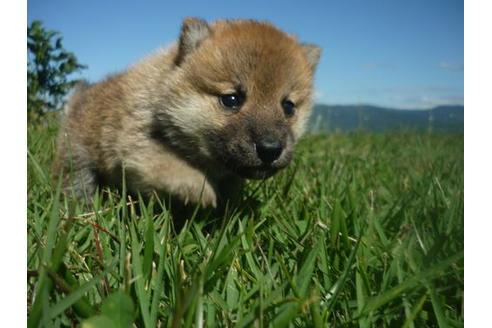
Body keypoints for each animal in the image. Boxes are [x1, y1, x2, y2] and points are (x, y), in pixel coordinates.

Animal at [53, 18, 320, 209]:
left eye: (288, 107)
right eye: (231, 99)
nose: (270, 149)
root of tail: (78, 98)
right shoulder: (136, 144)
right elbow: (174, 167)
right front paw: (202, 191)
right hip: (77, 155)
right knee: (76, 180)